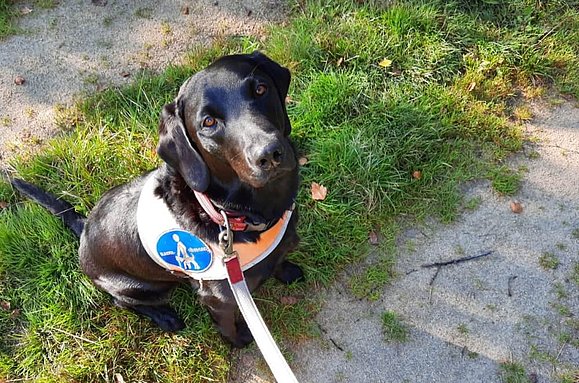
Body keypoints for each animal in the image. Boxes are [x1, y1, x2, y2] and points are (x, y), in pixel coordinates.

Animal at [12, 51, 304, 352]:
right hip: (141, 287)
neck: (230, 212)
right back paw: (165, 316)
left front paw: (288, 271)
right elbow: (228, 326)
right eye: (208, 123)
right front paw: (240, 340)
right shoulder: (220, 300)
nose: (268, 154)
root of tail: (83, 228)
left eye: (260, 89)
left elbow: (280, 258)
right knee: (123, 301)